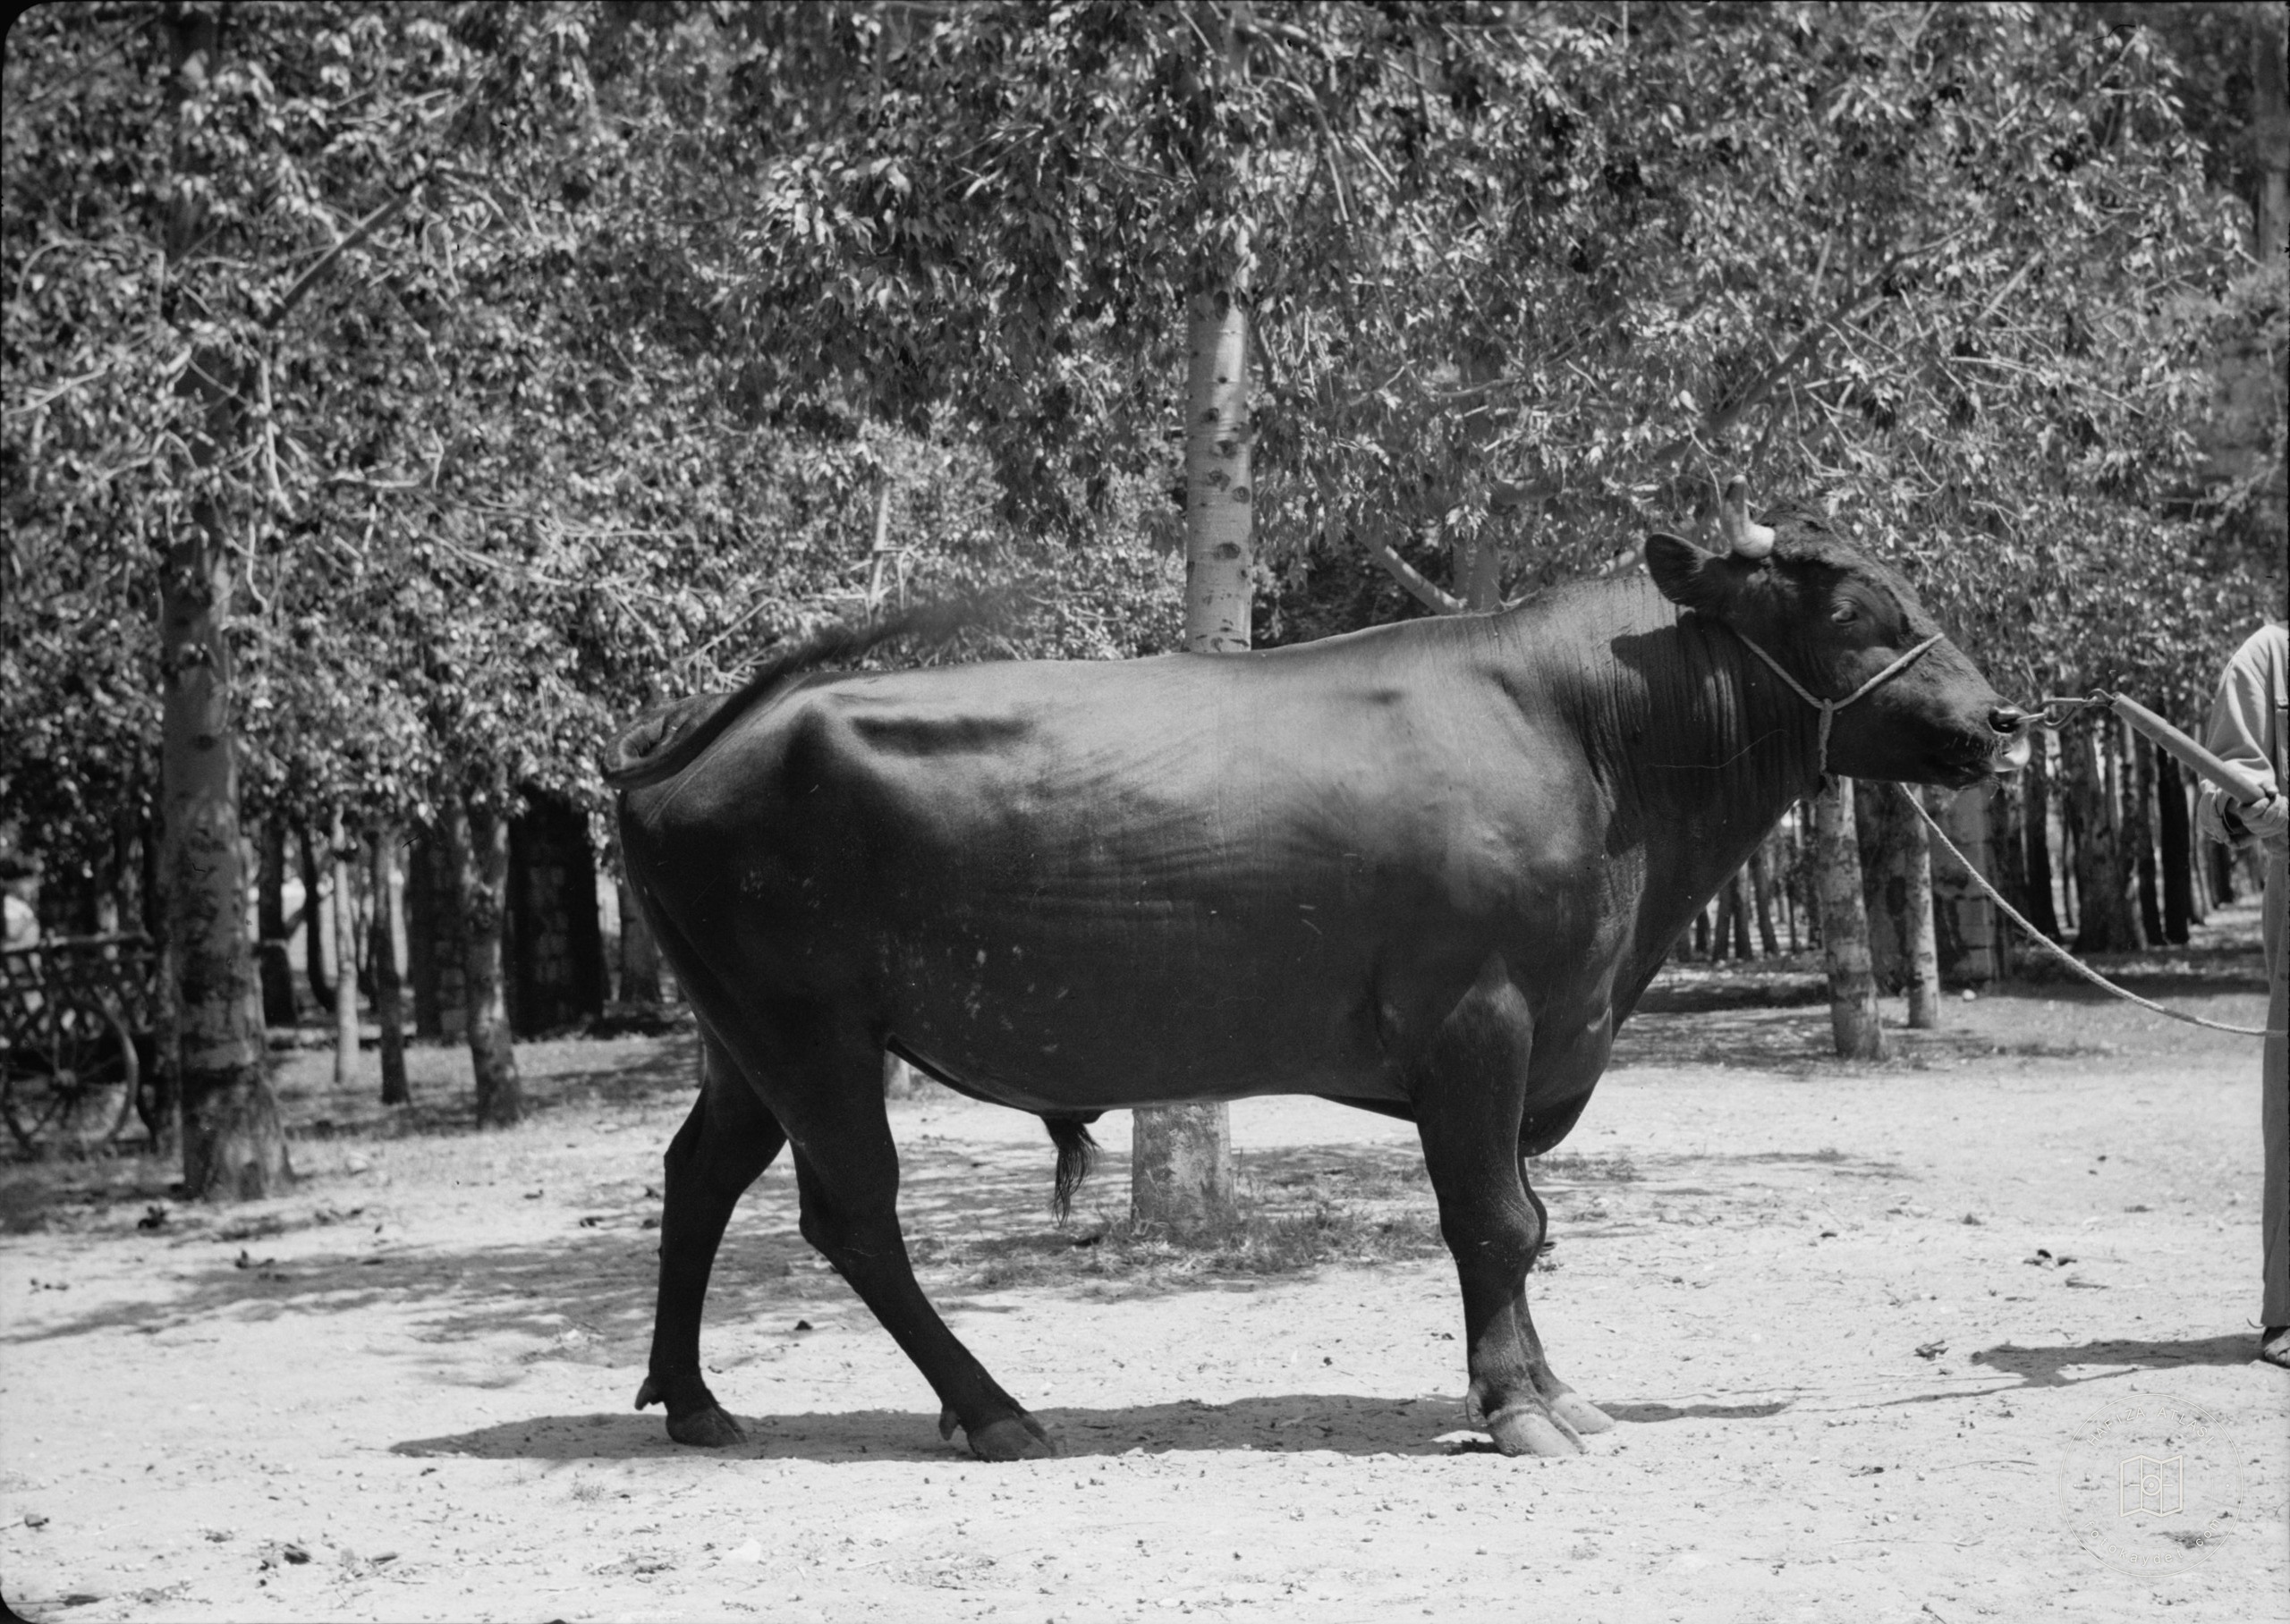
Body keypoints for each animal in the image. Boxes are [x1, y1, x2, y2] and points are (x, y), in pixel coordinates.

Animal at [605, 485, 2030, 1461]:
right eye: (1849, 609)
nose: (2003, 718)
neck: (1591, 739)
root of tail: (713, 734)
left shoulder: (1526, 1039)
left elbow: (1522, 1222)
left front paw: (1552, 1390)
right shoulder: (1479, 1022)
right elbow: (1497, 1222)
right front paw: (1517, 1409)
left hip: (745, 1039)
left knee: (699, 1177)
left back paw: (693, 1401)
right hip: (810, 1029)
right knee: (852, 1217)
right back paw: (992, 1410)